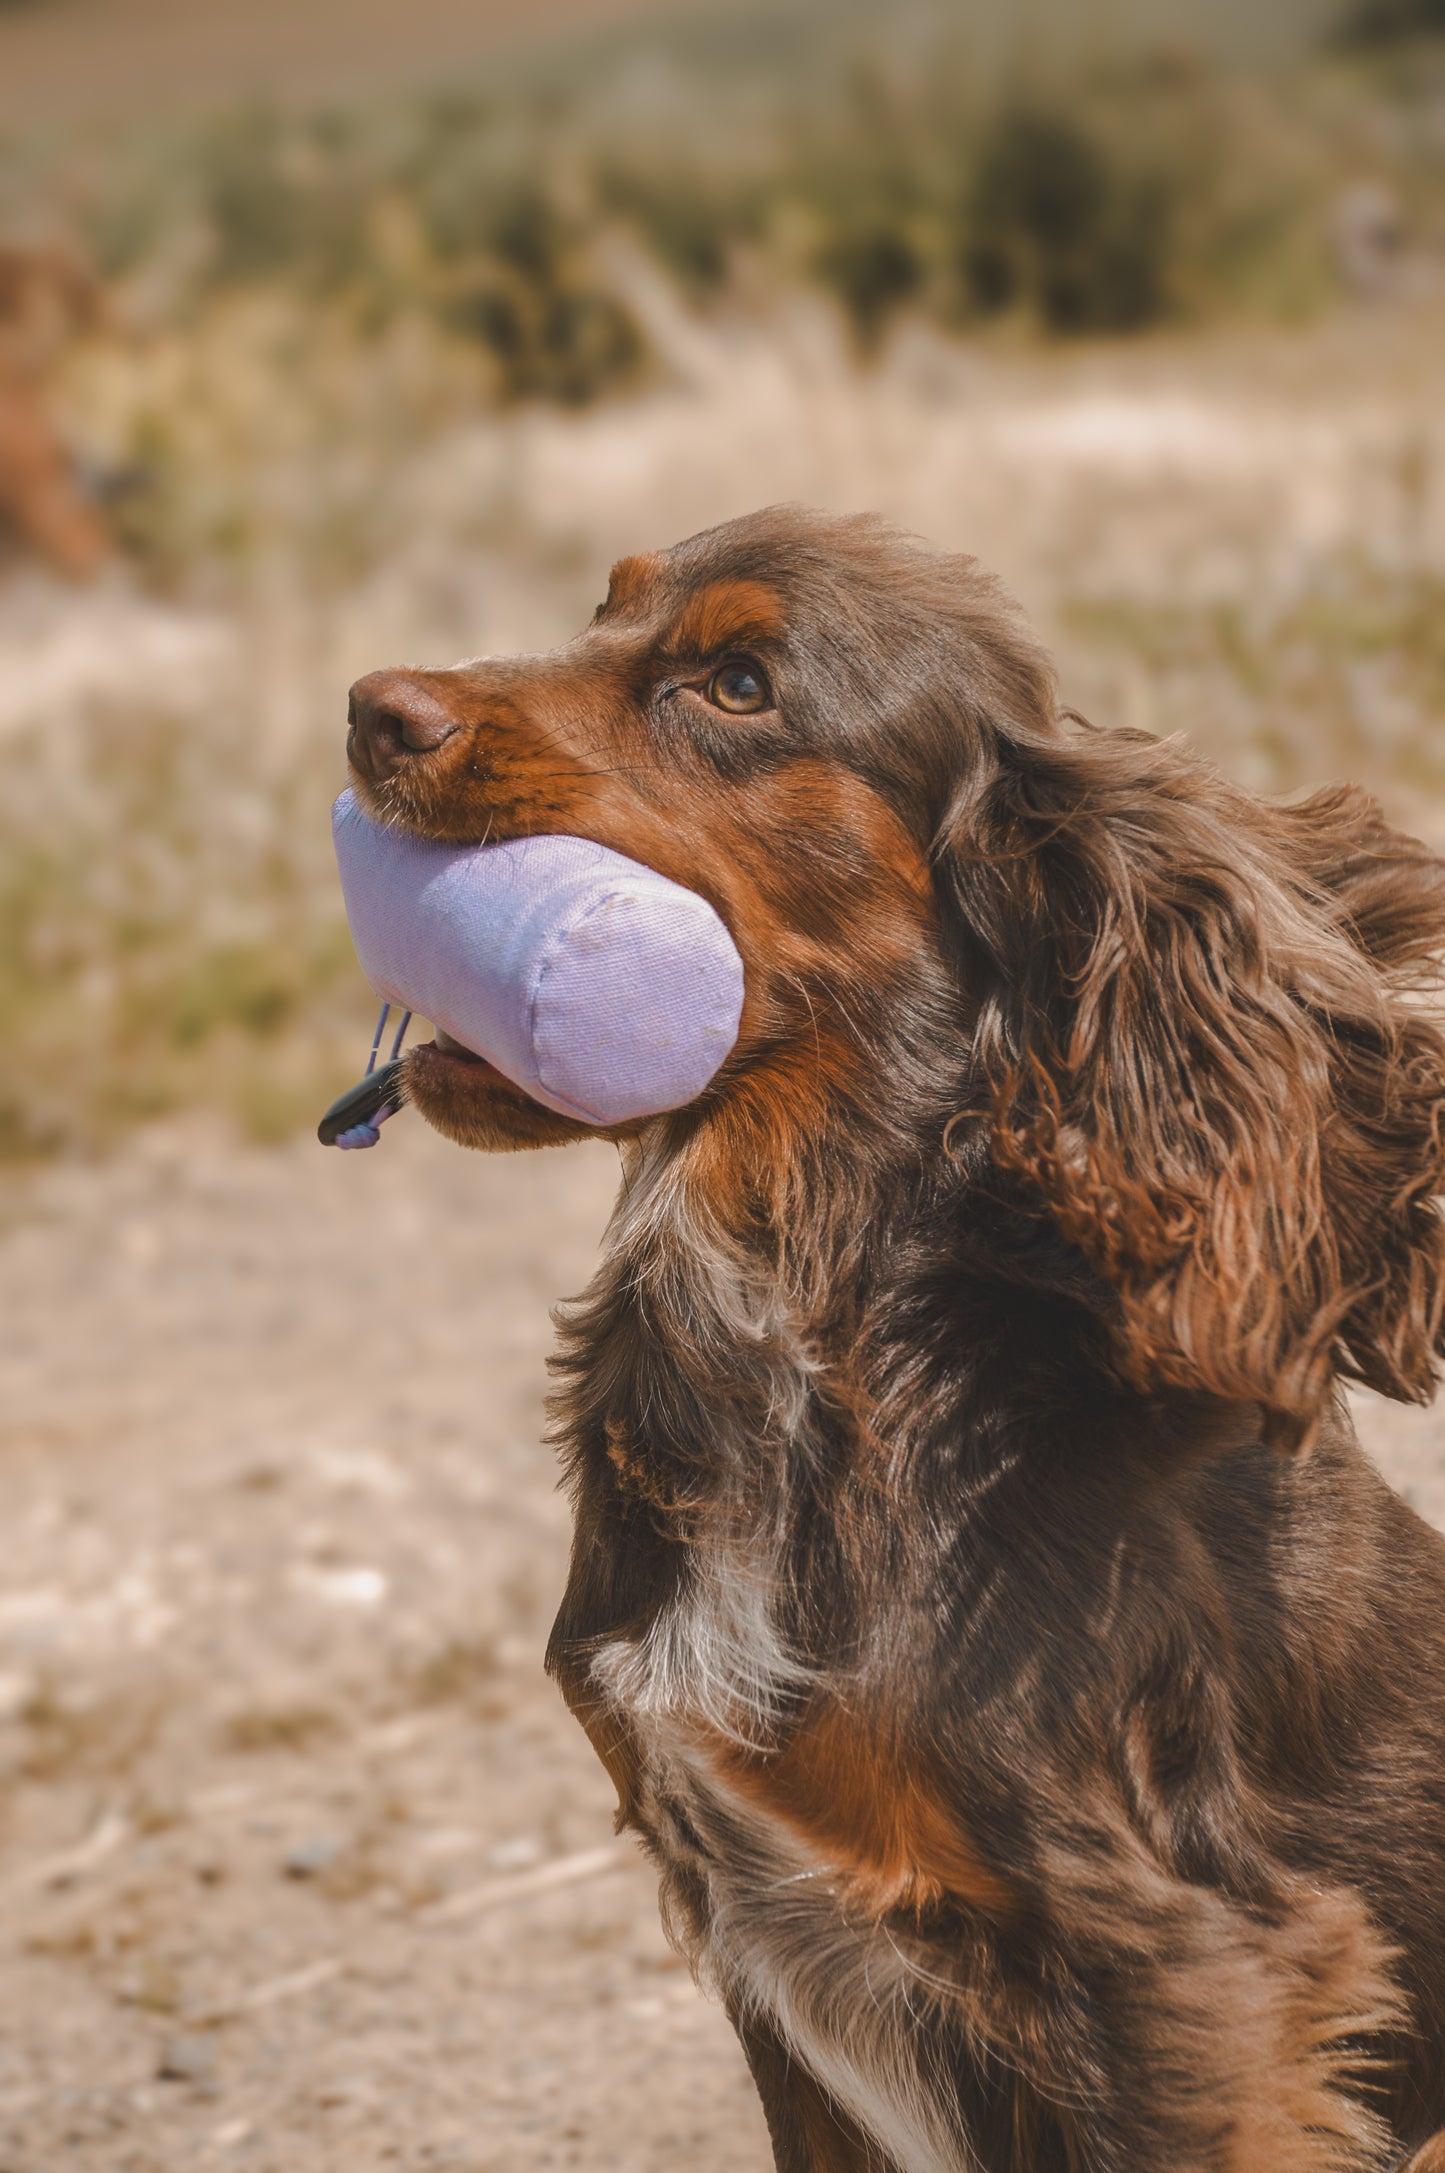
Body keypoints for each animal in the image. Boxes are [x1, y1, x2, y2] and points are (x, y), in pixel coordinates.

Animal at [349, 508, 1442, 2173]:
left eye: (739, 683)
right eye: (604, 605)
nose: (367, 710)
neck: (805, 1348)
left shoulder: (1186, 1967)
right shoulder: (754, 1921)